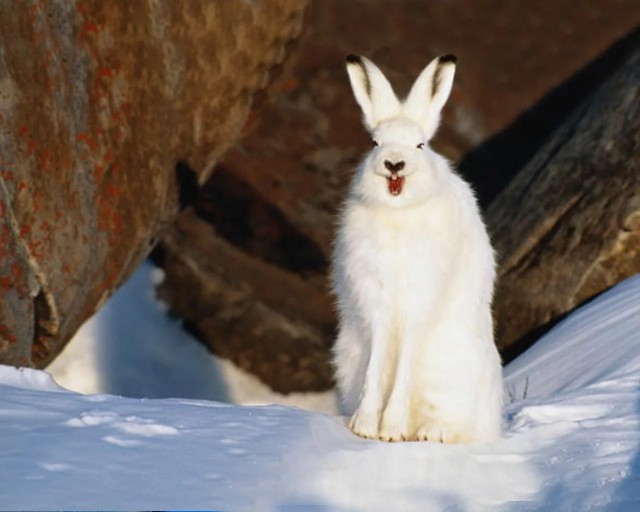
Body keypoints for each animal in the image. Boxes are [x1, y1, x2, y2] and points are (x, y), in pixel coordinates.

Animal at [331, 54, 502, 443]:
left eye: (421, 145)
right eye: (374, 142)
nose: (394, 163)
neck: (399, 213)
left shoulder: (418, 299)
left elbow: (405, 357)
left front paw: (391, 430)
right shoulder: (376, 302)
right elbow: (377, 364)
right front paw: (365, 428)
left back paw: (430, 433)